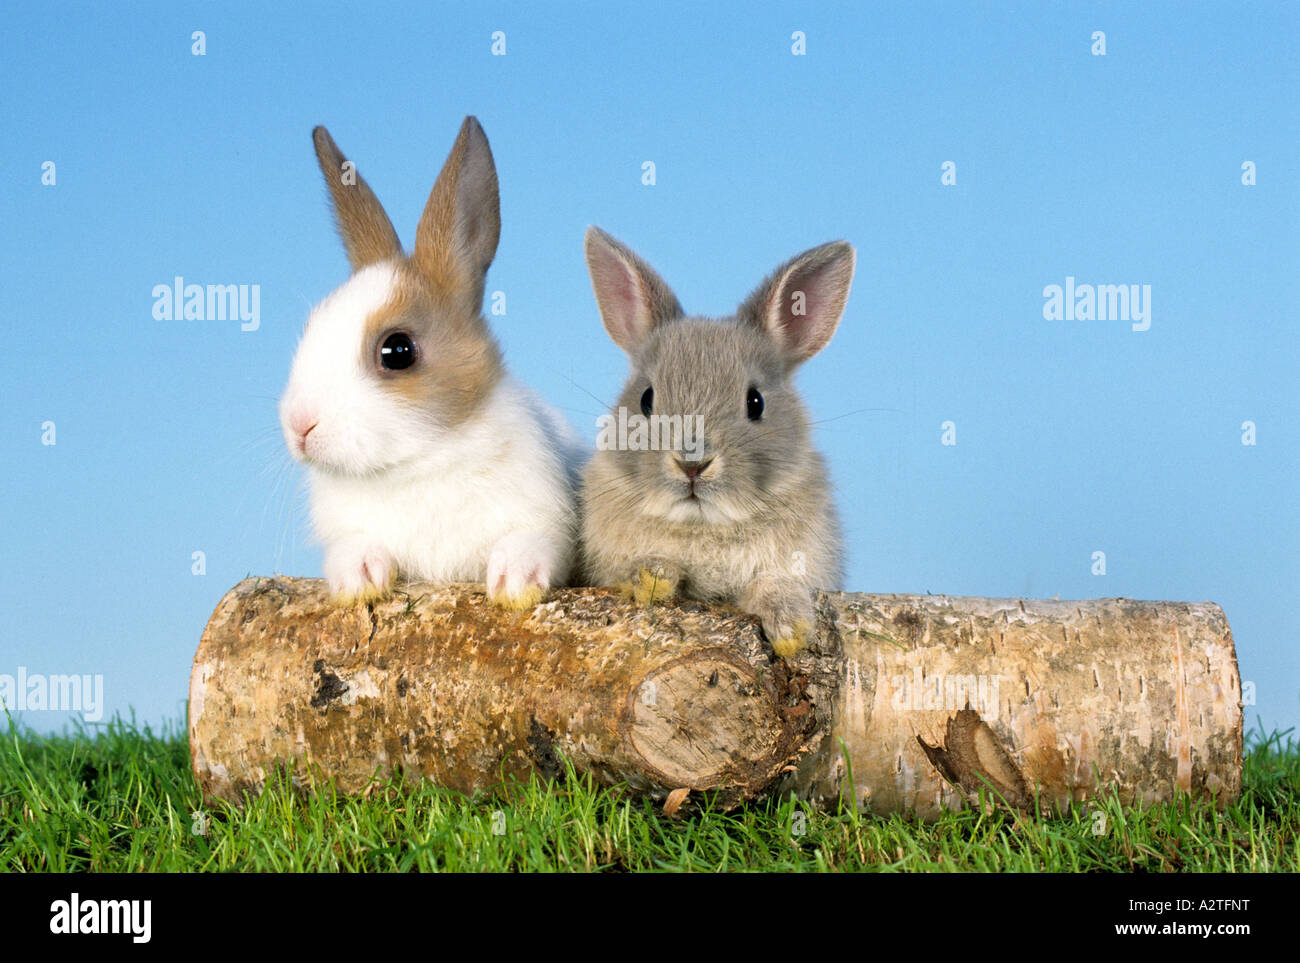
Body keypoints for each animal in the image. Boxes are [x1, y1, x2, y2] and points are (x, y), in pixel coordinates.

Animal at [278, 117, 583, 608]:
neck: (420, 462)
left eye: (397, 351)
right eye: (310, 327)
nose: (299, 425)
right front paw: (358, 580)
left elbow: (534, 543)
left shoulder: (549, 522)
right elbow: (353, 545)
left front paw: (513, 582)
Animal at [580, 227, 854, 657]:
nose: (692, 464)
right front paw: (652, 575)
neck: (704, 525)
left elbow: (772, 585)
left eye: (755, 402)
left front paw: (790, 626)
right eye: (646, 399)